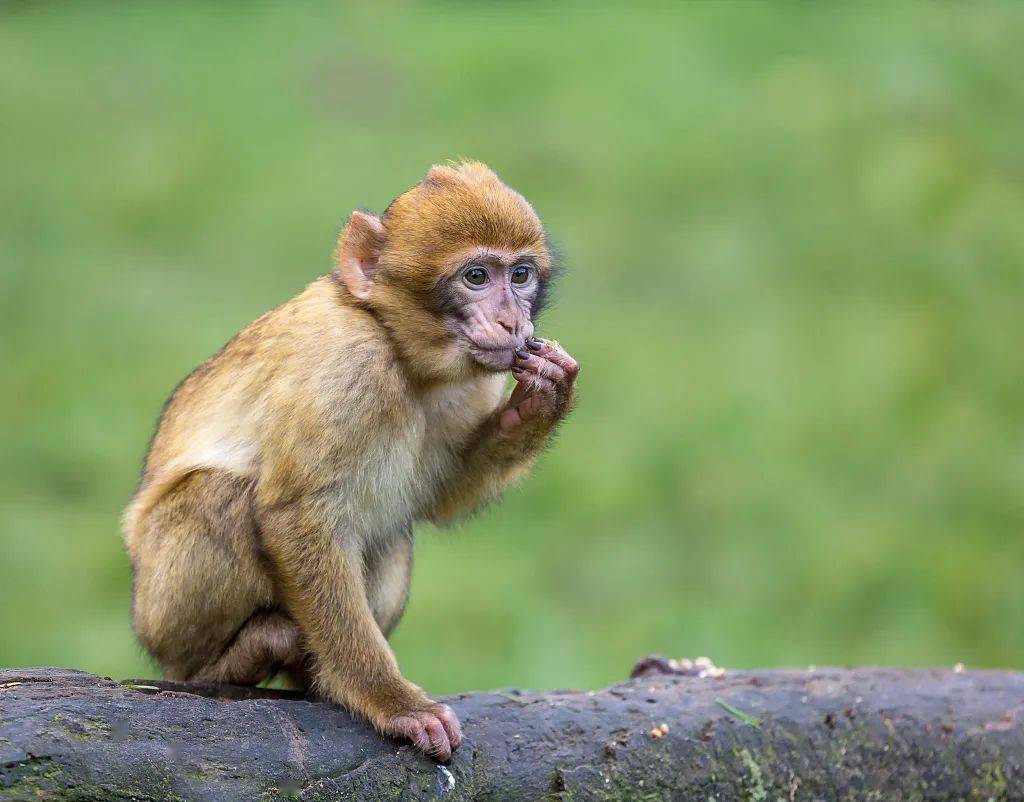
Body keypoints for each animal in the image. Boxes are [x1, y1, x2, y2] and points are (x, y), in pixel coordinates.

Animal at [119, 159, 577, 762]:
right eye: (476, 277)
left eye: (520, 275)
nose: (510, 321)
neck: (399, 349)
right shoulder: (347, 369)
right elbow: (297, 516)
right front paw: (389, 700)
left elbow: (438, 500)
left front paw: (543, 399)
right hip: (161, 613)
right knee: (217, 496)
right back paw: (230, 664)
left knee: (391, 530)